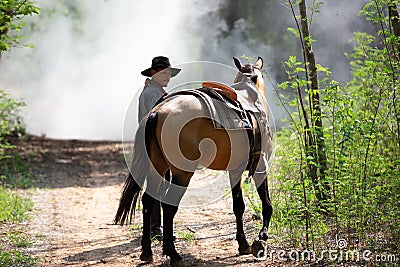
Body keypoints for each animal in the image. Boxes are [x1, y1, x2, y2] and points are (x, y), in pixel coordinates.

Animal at [114, 56, 274, 266]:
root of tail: (157, 112)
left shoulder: (235, 170)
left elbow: (238, 206)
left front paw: (243, 244)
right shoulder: (260, 165)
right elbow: (266, 203)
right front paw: (261, 238)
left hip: (158, 166)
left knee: (148, 201)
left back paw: (147, 252)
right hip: (183, 172)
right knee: (169, 206)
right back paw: (173, 254)